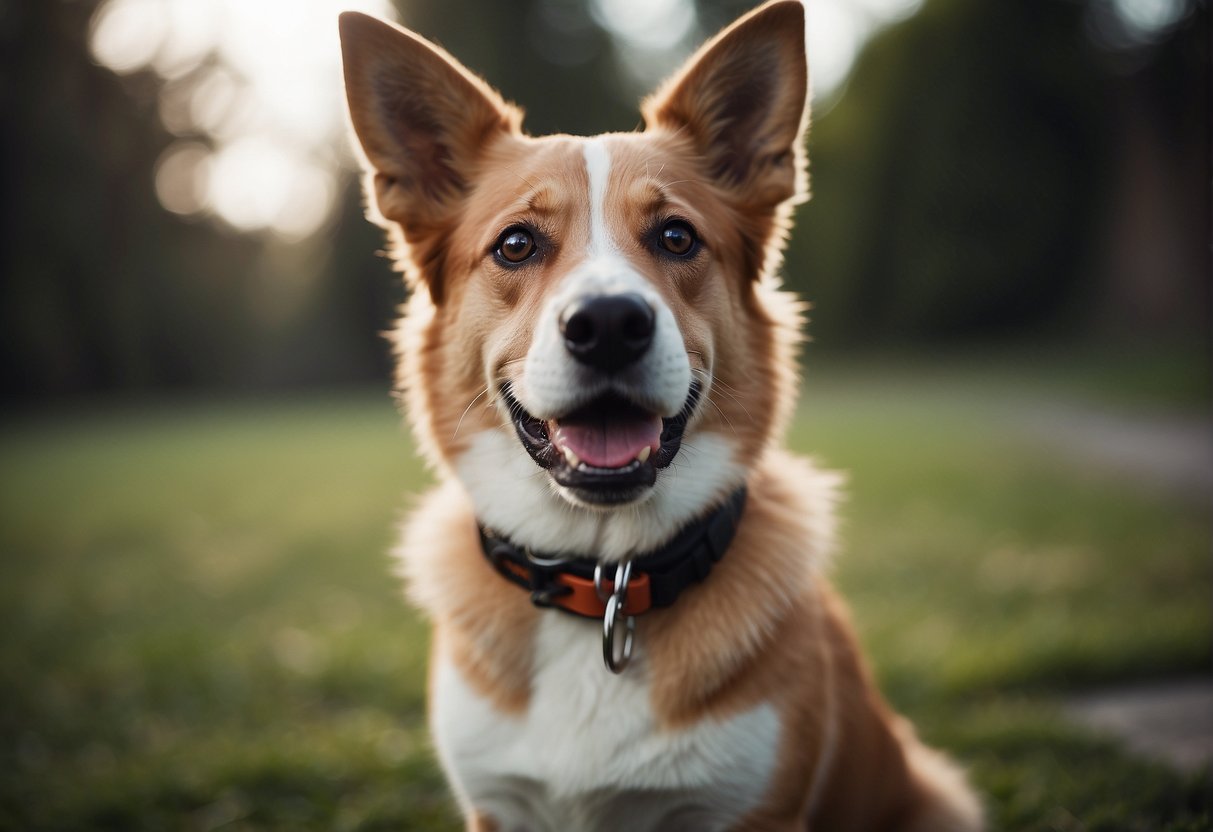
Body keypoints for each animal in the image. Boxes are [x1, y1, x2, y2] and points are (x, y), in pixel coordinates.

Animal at [339, 3, 984, 829]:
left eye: (676, 236)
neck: (604, 578)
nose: (609, 324)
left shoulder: (752, 811)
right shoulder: (497, 807)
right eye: (515, 244)